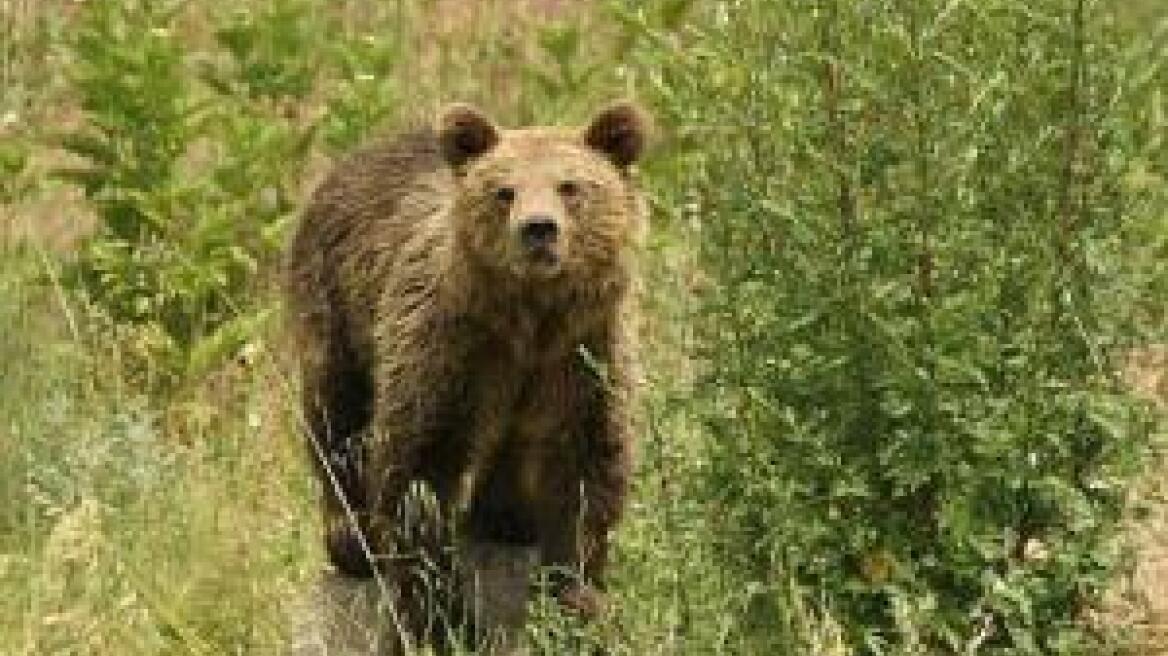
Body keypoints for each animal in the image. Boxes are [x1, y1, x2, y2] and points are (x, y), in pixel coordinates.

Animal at [281, 99, 649, 644]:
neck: (529, 322)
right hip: (337, 303)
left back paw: (506, 519)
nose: (538, 228)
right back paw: (350, 537)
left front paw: (574, 597)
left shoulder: (580, 357)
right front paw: (444, 618)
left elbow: (585, 470)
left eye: (570, 186)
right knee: (336, 411)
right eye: (504, 191)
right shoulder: (451, 350)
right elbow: (420, 467)